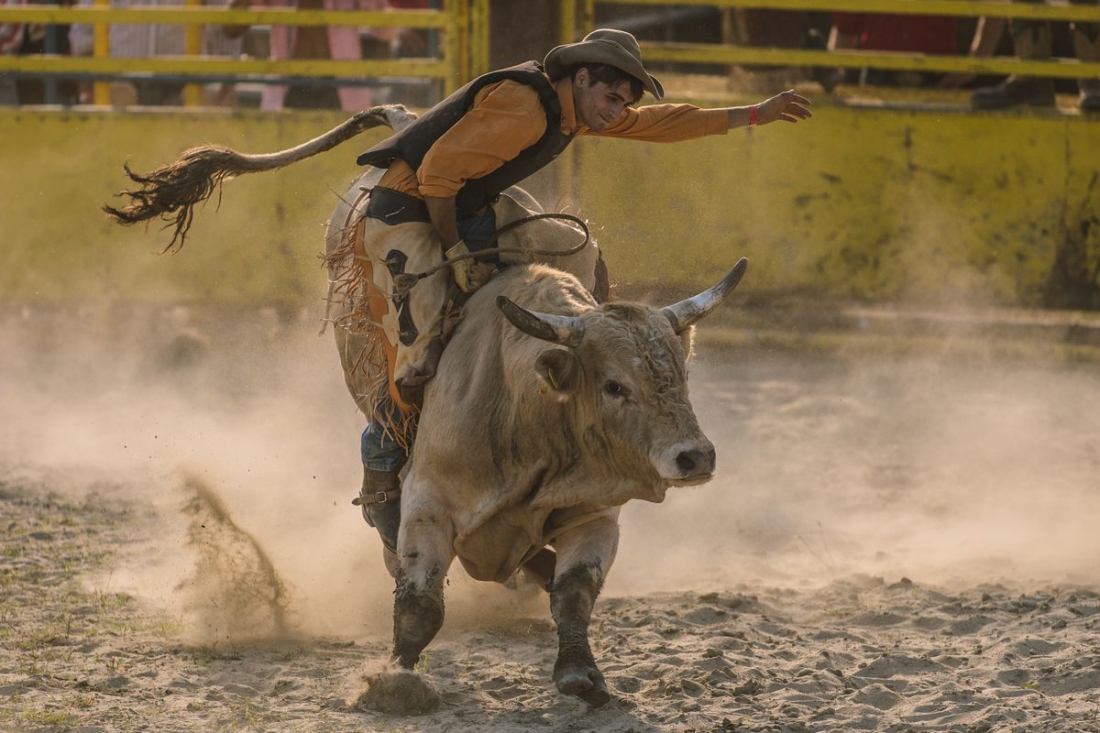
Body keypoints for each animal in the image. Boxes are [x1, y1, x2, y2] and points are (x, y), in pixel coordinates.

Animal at [102, 104, 748, 708]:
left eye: (679, 373)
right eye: (614, 385)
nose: (695, 457)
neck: (525, 410)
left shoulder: (592, 512)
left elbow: (573, 594)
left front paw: (580, 674)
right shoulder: (430, 503)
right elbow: (420, 602)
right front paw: (395, 680)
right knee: (383, 435)